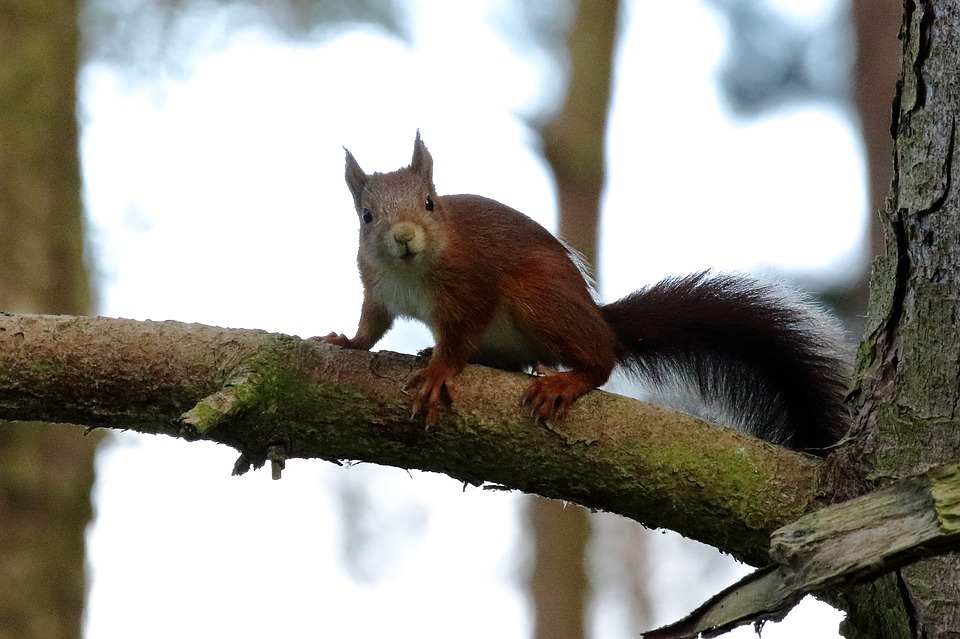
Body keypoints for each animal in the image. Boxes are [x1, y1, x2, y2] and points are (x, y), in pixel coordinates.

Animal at [318, 132, 852, 452]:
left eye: (430, 203)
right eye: (367, 216)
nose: (404, 236)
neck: (411, 273)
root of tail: (597, 316)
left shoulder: (472, 287)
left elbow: (461, 333)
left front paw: (440, 371)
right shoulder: (377, 289)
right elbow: (372, 325)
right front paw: (347, 342)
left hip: (541, 301)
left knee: (602, 357)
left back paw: (565, 379)